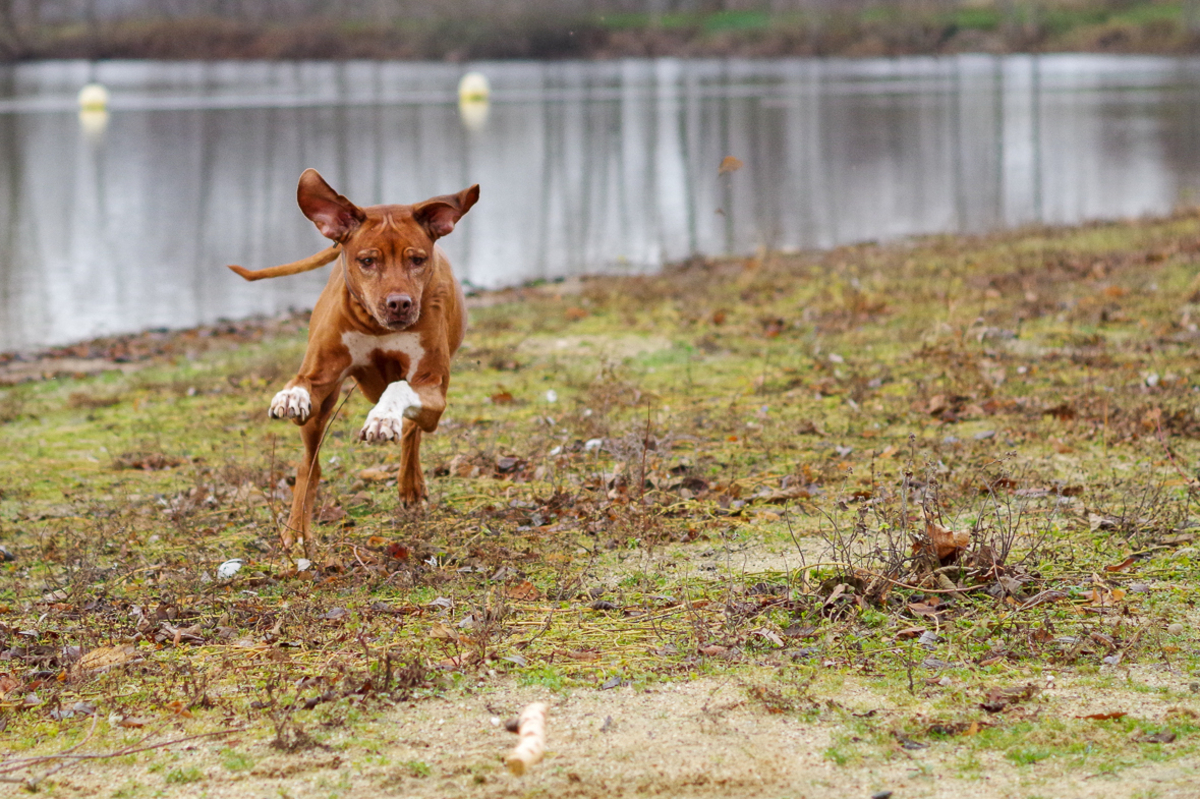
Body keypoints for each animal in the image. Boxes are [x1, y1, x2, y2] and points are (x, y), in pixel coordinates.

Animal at [228, 167, 477, 554]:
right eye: (367, 260)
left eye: (417, 259)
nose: (399, 303)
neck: (375, 326)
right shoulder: (320, 372)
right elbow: (302, 381)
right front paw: (290, 394)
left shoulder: (432, 389)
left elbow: (401, 392)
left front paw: (382, 420)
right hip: (320, 412)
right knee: (310, 466)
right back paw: (296, 531)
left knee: (410, 430)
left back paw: (409, 483)